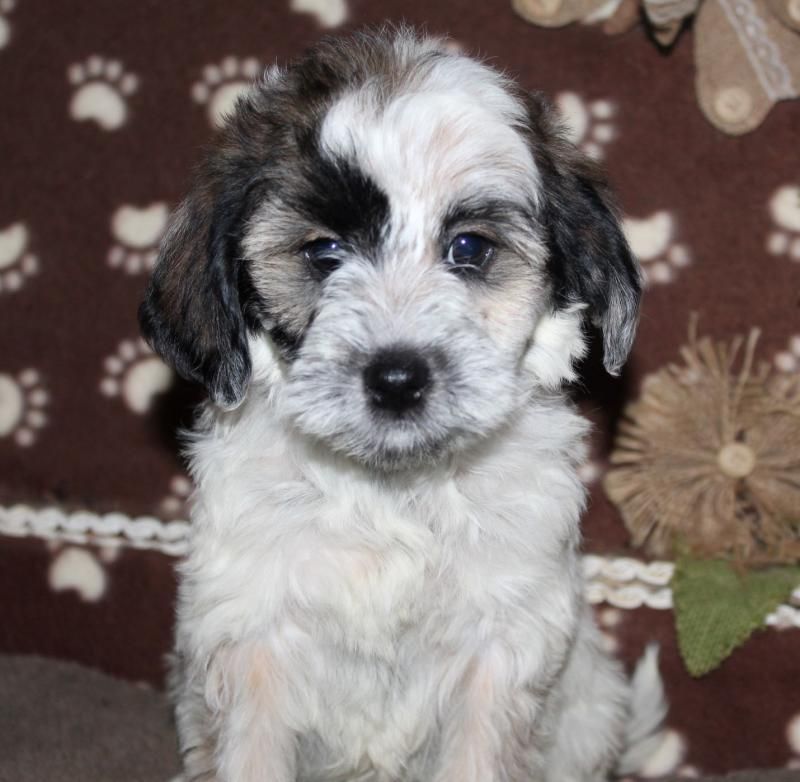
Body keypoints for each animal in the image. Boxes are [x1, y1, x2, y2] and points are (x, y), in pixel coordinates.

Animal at [141, 26, 664, 782]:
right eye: (323, 253)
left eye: (469, 248)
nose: (396, 379)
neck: (392, 497)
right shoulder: (249, 634)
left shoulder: (502, 645)